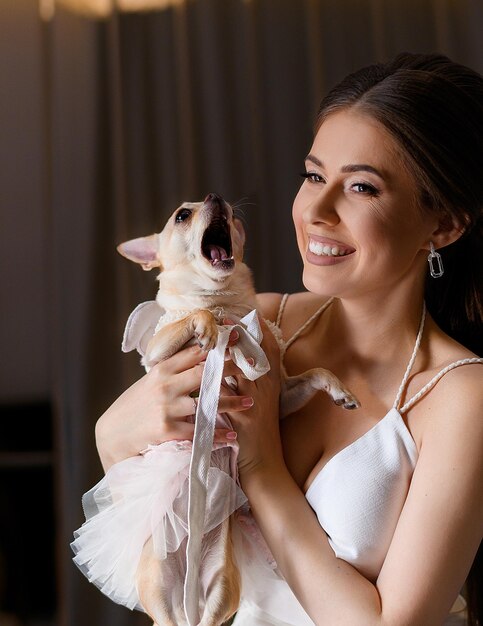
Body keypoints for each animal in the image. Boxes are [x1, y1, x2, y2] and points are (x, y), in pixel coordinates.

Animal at [118, 193, 358, 620]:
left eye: (229, 212)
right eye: (182, 215)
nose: (215, 197)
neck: (227, 305)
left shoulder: (281, 395)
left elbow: (316, 372)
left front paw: (340, 390)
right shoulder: (158, 353)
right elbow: (194, 318)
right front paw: (208, 327)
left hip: (222, 588)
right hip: (156, 587)